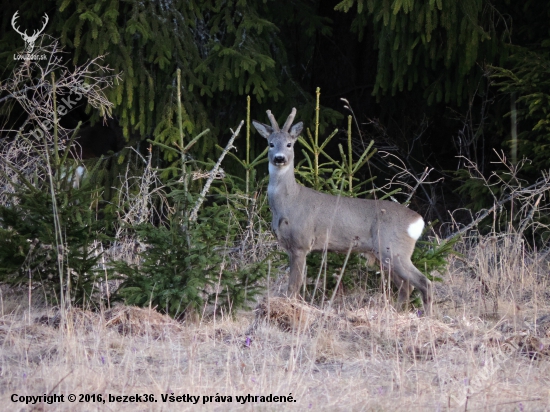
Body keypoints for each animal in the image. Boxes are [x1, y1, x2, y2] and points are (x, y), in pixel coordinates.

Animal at [252, 108, 434, 314]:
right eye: (270, 144)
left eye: (289, 144)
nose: (279, 158)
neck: (289, 202)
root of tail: (417, 220)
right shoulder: (289, 246)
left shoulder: (302, 243)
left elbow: (293, 286)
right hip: (385, 253)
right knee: (406, 286)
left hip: (394, 248)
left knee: (424, 283)